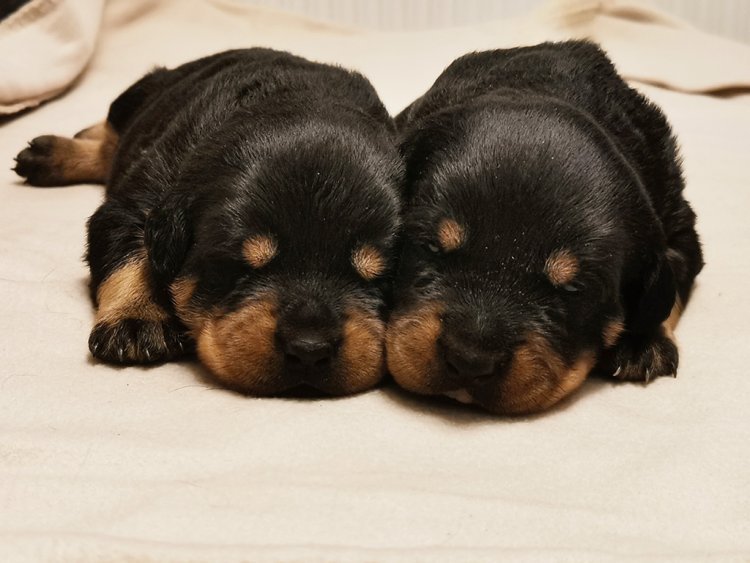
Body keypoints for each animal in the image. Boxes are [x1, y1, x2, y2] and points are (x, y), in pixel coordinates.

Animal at [14, 50, 402, 398]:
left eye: (377, 277)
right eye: (238, 268)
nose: (309, 349)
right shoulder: (134, 201)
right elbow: (132, 253)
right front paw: (136, 317)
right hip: (134, 96)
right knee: (109, 139)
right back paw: (52, 153)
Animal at [388, 40, 704, 414]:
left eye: (574, 288)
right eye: (431, 246)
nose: (470, 359)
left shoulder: (680, 228)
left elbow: (672, 285)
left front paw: (644, 342)